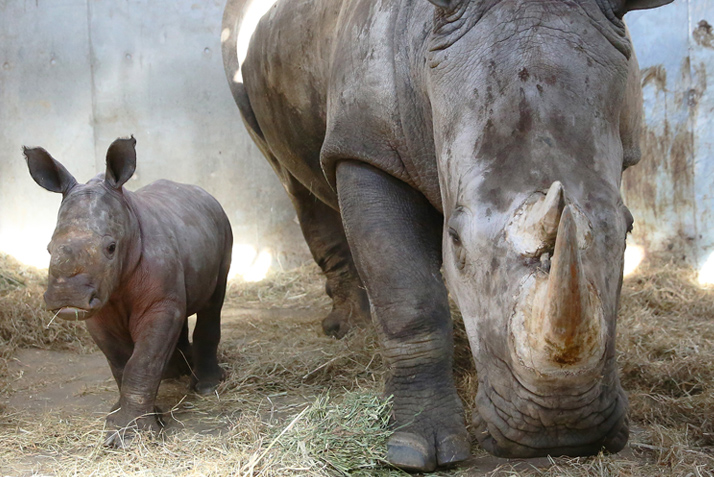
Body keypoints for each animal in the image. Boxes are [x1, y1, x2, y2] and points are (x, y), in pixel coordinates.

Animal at [23, 137, 231, 446]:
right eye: (48, 249)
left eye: (111, 248)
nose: (67, 299)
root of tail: (203, 192)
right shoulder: (98, 310)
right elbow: (121, 362)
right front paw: (123, 418)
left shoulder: (156, 302)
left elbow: (142, 361)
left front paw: (131, 436)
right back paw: (173, 374)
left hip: (223, 227)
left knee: (213, 300)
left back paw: (205, 387)